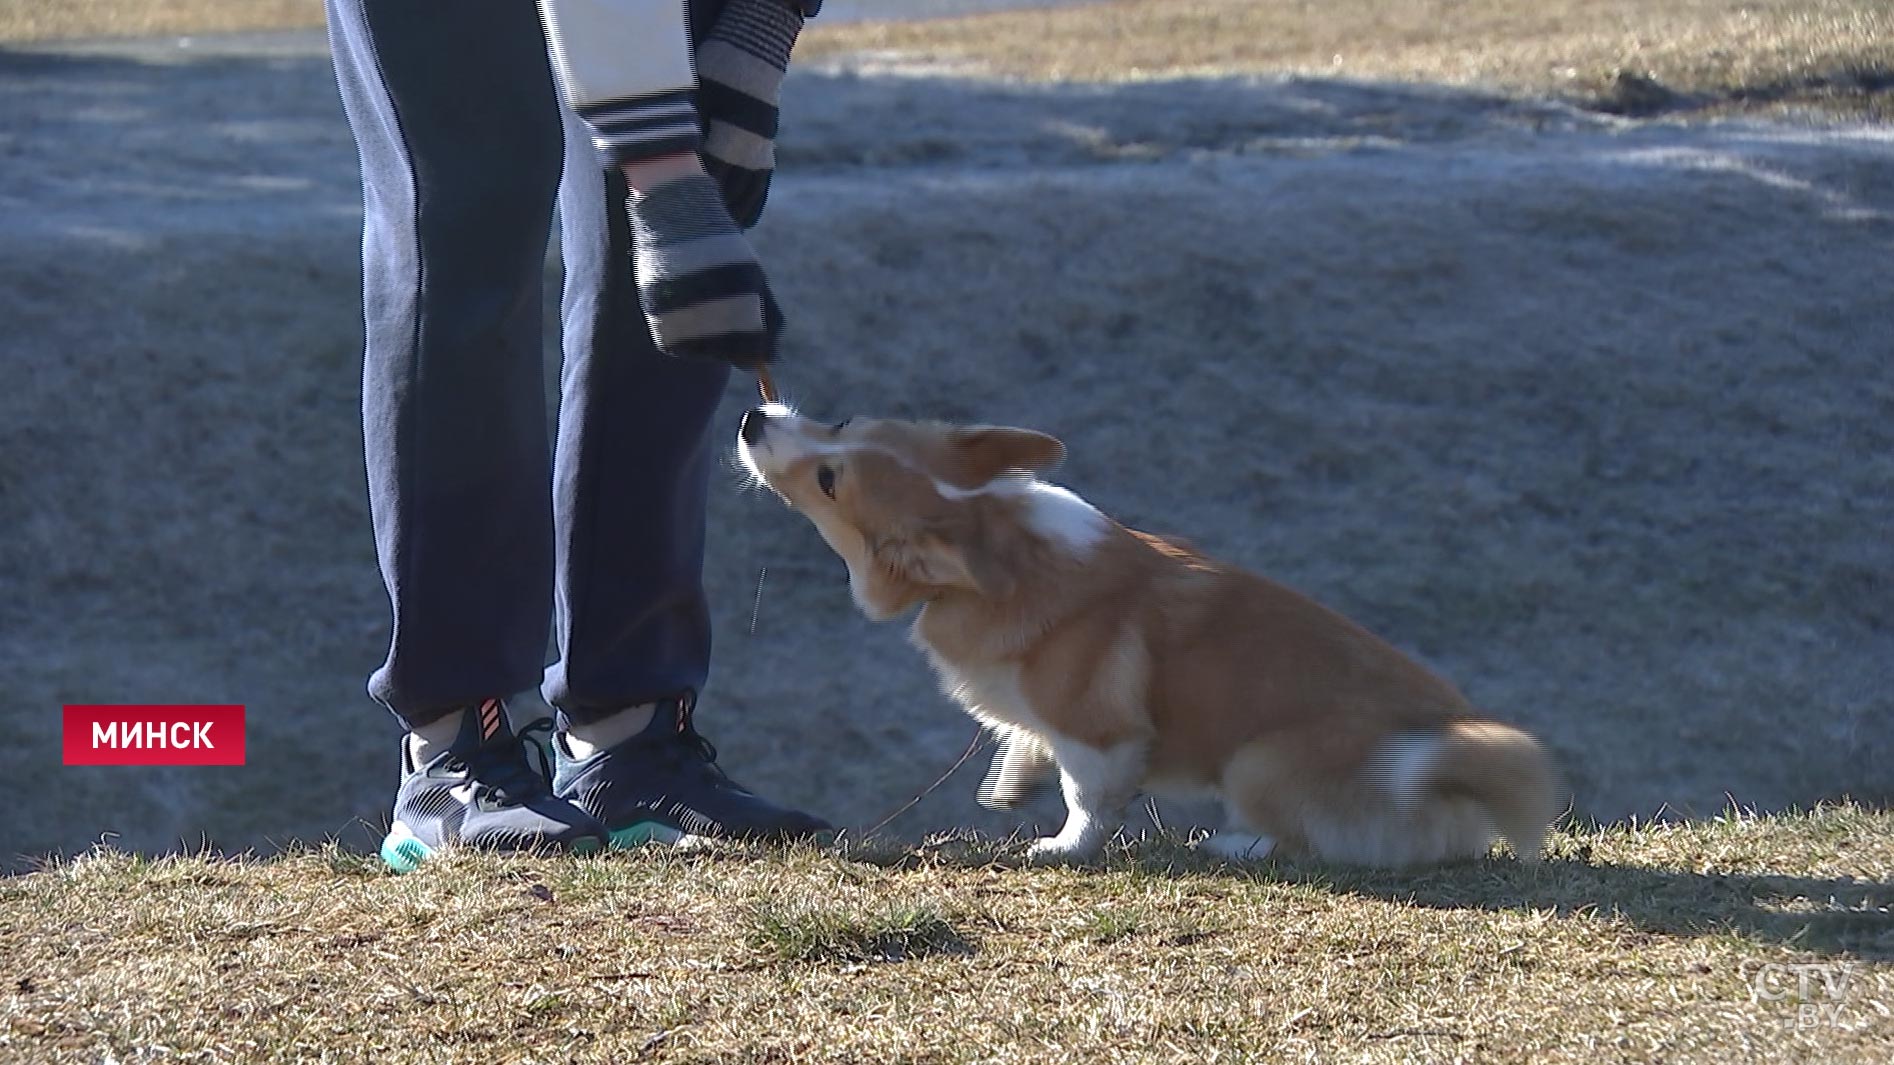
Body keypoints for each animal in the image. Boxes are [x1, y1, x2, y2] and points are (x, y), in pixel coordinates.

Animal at [731, 405, 1560, 864]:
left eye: (830, 480)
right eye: (841, 422)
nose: (750, 419)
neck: (996, 535)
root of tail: (1452, 771)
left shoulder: (1099, 732)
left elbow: (1087, 796)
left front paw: (1062, 847)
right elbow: (1027, 743)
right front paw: (1009, 782)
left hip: (1257, 761)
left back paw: (1235, 843)